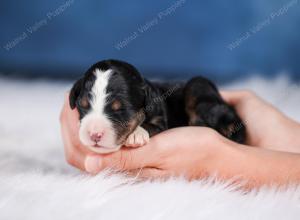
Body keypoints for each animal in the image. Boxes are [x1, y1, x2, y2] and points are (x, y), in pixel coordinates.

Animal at [69, 59, 245, 154]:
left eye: (120, 109)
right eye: (83, 105)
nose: (94, 135)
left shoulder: (160, 119)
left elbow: (152, 125)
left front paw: (137, 134)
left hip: (198, 84)